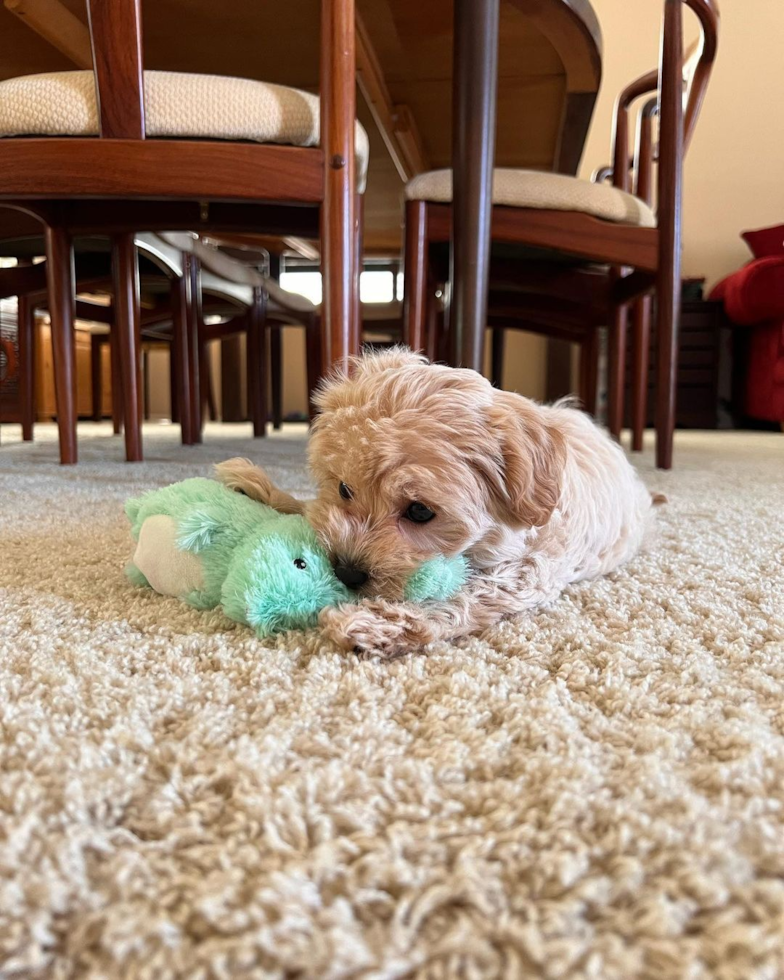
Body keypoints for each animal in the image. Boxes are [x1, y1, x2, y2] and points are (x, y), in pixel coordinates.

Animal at [214, 348, 656, 656]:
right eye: (344, 490)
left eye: (420, 512)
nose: (347, 572)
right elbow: (311, 508)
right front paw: (261, 489)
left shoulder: (530, 569)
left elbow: (463, 597)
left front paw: (376, 625)